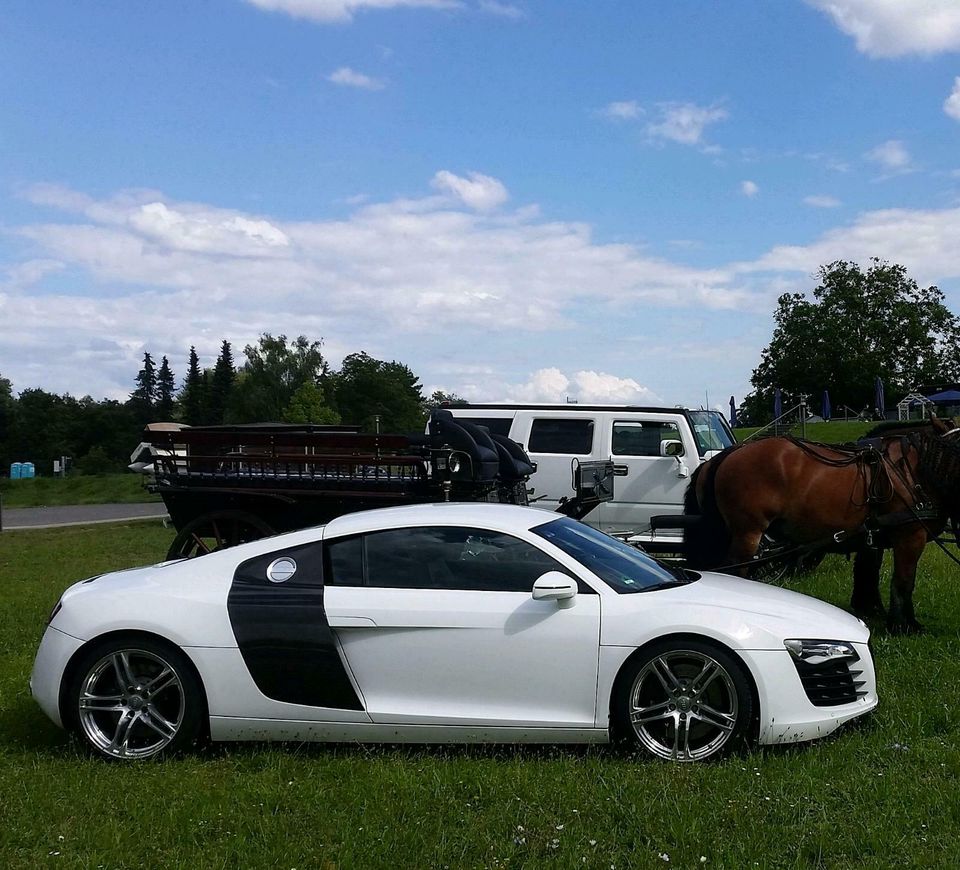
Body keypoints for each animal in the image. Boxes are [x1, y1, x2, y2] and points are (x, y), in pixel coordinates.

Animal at [684, 418, 960, 636]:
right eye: (953, 452)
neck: (910, 470)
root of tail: (727, 454)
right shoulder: (910, 535)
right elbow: (904, 581)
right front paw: (904, 626)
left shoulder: (872, 537)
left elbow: (867, 572)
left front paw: (870, 609)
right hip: (748, 534)